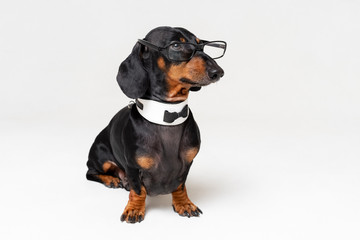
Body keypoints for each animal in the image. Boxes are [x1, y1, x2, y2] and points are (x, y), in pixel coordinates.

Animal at [86, 26, 226, 223]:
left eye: (202, 45)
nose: (218, 72)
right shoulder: (132, 167)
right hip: (100, 157)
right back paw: (111, 180)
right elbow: (138, 190)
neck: (167, 115)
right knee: (90, 172)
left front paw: (184, 204)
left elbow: (180, 186)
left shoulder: (187, 165)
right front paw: (134, 209)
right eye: (176, 45)